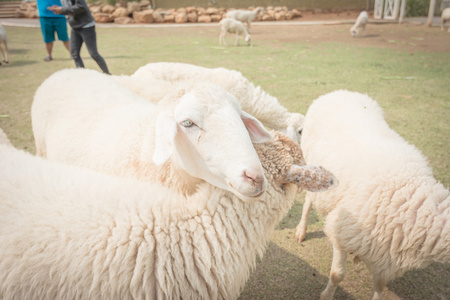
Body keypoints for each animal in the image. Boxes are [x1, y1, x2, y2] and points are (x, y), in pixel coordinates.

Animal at [294, 89, 448, 300]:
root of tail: (341, 91)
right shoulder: (342, 232)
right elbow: (337, 275)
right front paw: (326, 295)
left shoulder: (386, 260)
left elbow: (380, 285)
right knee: (309, 201)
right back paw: (301, 230)